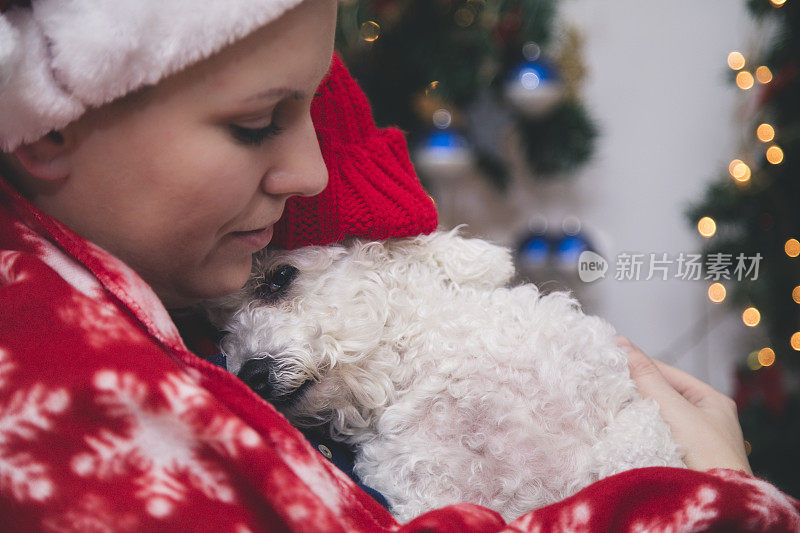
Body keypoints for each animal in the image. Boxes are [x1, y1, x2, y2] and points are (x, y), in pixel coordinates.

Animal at [205, 229, 680, 520]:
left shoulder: (624, 402)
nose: (251, 374)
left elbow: (639, 453)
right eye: (220, 330)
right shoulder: (425, 494)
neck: (421, 370)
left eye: (279, 278)